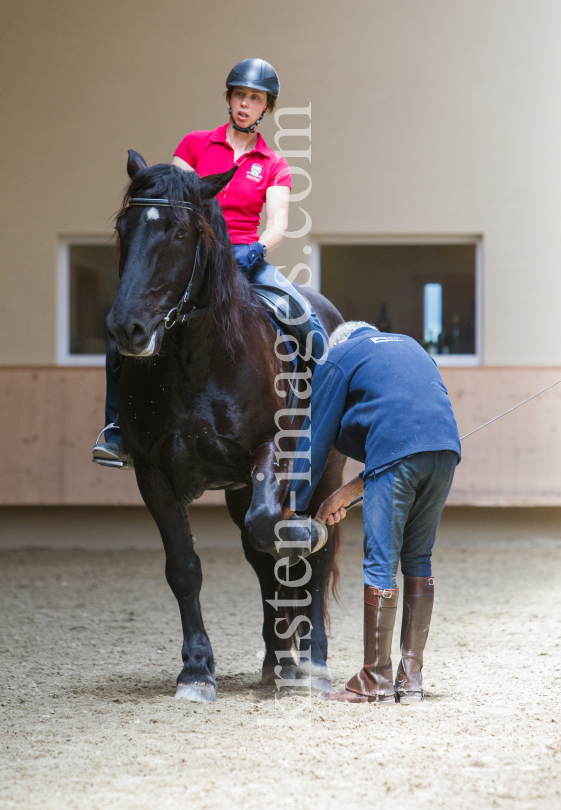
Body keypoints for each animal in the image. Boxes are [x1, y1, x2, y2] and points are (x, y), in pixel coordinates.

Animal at [103, 152, 344, 700]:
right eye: (124, 228)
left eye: (178, 232)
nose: (127, 328)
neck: (196, 360)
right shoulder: (152, 472)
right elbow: (185, 568)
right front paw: (196, 671)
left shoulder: (269, 452)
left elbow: (278, 533)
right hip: (238, 489)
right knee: (261, 559)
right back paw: (278, 663)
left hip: (323, 474)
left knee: (315, 559)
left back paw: (313, 664)